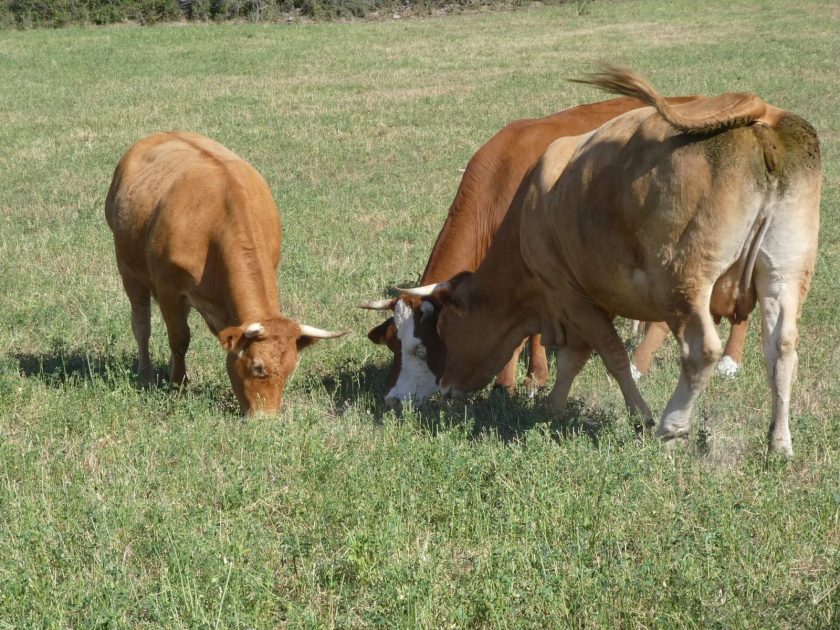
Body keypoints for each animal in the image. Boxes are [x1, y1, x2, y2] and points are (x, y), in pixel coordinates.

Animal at [106, 131, 348, 418]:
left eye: (289, 370)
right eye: (257, 366)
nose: (266, 420)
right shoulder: (168, 288)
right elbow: (179, 339)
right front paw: (178, 386)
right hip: (129, 271)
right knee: (142, 323)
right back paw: (146, 375)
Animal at [400, 66, 820, 456]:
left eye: (443, 332)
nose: (444, 388)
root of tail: (761, 116)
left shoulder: (569, 294)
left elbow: (607, 354)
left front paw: (637, 414)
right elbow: (576, 357)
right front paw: (552, 406)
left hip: (684, 282)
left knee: (701, 351)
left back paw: (672, 424)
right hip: (784, 271)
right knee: (782, 348)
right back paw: (779, 442)